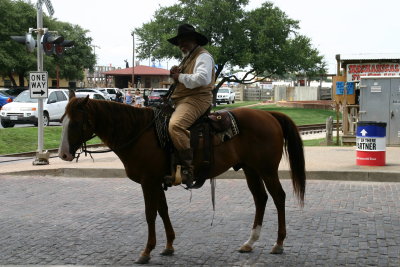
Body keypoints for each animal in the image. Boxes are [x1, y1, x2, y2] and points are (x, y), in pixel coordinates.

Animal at [57, 92, 304, 264]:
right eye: (62, 120)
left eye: (76, 122)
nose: (64, 154)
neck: (140, 133)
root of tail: (269, 114)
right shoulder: (158, 182)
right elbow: (163, 211)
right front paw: (168, 246)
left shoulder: (148, 181)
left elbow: (150, 214)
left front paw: (146, 251)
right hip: (250, 169)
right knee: (261, 199)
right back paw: (250, 242)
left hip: (267, 170)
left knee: (278, 197)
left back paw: (279, 243)